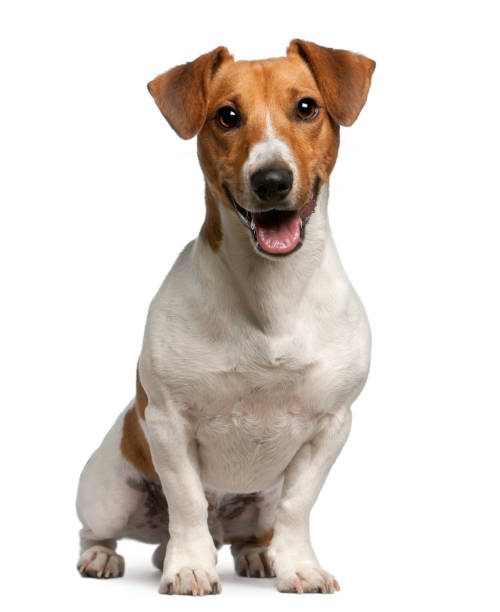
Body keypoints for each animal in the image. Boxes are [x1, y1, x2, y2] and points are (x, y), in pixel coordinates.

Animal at [76, 38, 376, 592]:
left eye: (307, 107)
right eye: (227, 116)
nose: (272, 180)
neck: (271, 293)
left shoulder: (331, 424)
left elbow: (298, 507)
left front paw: (299, 567)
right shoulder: (168, 422)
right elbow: (188, 502)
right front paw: (191, 568)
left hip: (259, 502)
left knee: (249, 532)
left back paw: (258, 555)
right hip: (110, 493)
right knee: (100, 530)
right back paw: (105, 557)